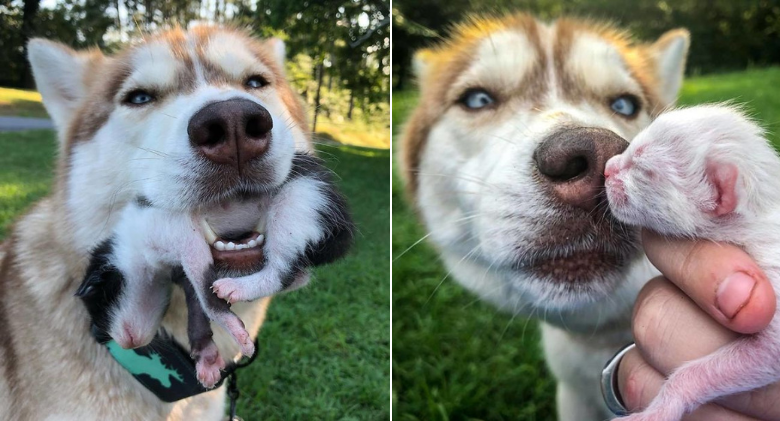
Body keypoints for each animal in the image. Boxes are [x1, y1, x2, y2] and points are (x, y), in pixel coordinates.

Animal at [79, 152, 354, 388]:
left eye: (98, 300)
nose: (100, 336)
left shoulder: (178, 231)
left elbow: (206, 292)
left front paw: (237, 333)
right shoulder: (183, 271)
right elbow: (197, 305)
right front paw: (208, 360)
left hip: (299, 202)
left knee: (281, 271)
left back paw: (236, 287)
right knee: (299, 274)